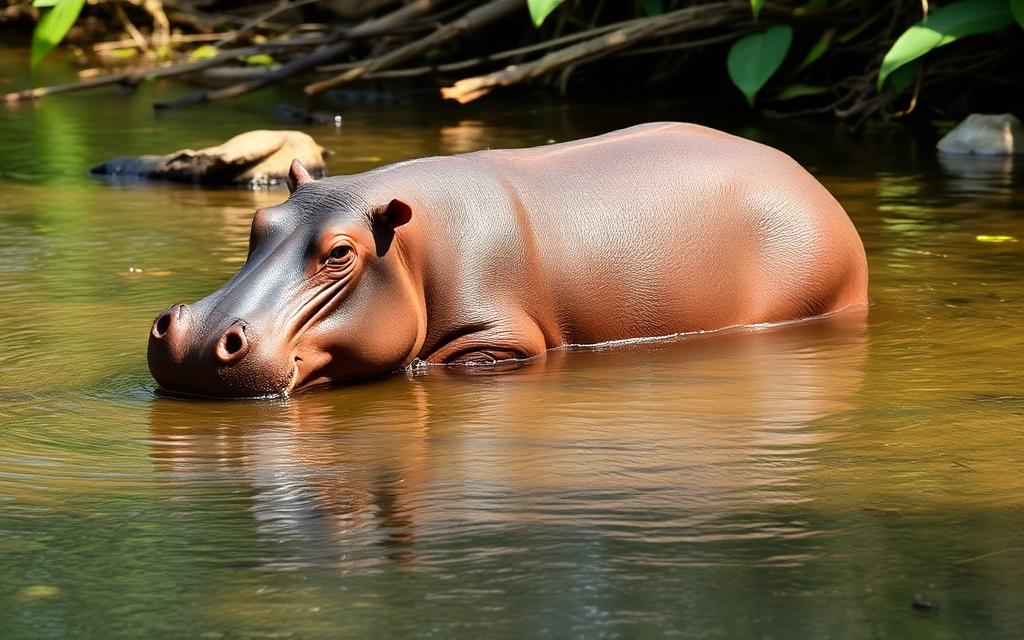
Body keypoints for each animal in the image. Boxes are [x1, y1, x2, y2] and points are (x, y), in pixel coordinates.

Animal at [148, 122, 868, 398]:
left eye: (341, 253)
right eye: (258, 223)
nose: (196, 341)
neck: (408, 243)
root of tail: (812, 181)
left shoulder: (500, 342)